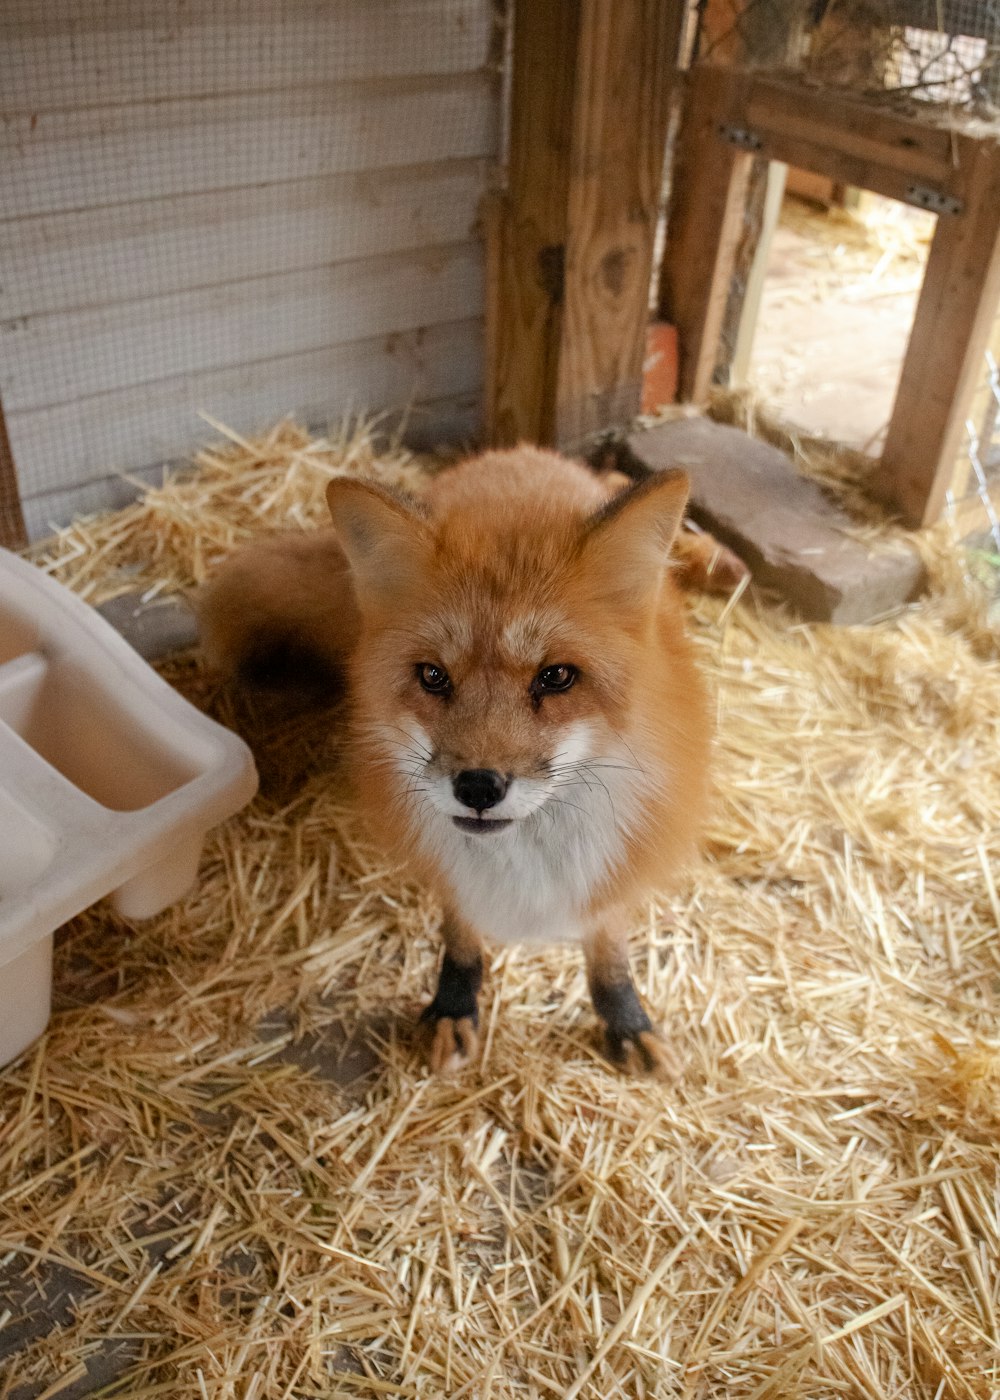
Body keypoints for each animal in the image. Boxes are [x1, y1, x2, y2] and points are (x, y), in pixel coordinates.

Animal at [196, 448, 708, 1069]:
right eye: (433, 677)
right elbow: (461, 936)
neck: (525, 861)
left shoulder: (617, 862)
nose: (478, 787)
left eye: (557, 677)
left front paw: (625, 1016)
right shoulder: (448, 869)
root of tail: (518, 452)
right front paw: (454, 1004)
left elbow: (607, 944)